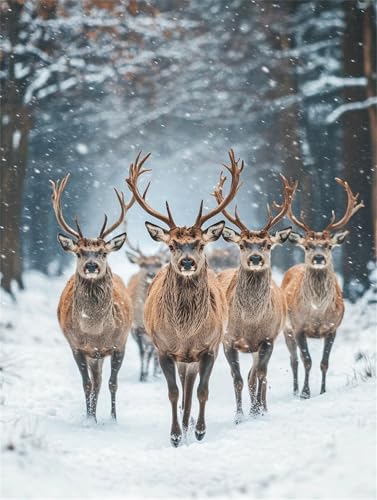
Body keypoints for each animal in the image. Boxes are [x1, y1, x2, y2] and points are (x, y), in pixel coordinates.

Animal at [49, 174, 133, 420]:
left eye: (103, 252)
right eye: (79, 253)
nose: (92, 265)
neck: (95, 332)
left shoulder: (120, 343)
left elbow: (113, 383)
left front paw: (113, 419)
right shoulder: (77, 346)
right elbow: (87, 384)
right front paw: (89, 419)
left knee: (102, 381)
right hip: (92, 355)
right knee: (95, 382)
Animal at [125, 240, 167, 380]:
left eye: (158, 263)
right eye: (142, 264)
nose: (151, 274)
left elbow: (151, 352)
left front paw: (151, 373)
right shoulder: (136, 329)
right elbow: (142, 352)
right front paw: (142, 375)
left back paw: (157, 371)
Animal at [213, 174, 296, 420]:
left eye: (267, 244)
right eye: (242, 244)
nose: (256, 258)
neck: (250, 323)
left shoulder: (267, 338)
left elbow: (260, 375)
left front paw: (257, 410)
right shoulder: (228, 340)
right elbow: (238, 379)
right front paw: (239, 416)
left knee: (259, 374)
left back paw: (261, 407)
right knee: (248, 376)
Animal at [282, 176, 362, 398]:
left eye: (328, 245)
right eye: (308, 246)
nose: (318, 257)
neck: (317, 313)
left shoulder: (333, 328)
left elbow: (324, 363)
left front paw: (323, 390)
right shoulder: (298, 327)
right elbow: (307, 361)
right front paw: (305, 393)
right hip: (285, 329)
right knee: (293, 360)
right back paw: (294, 390)